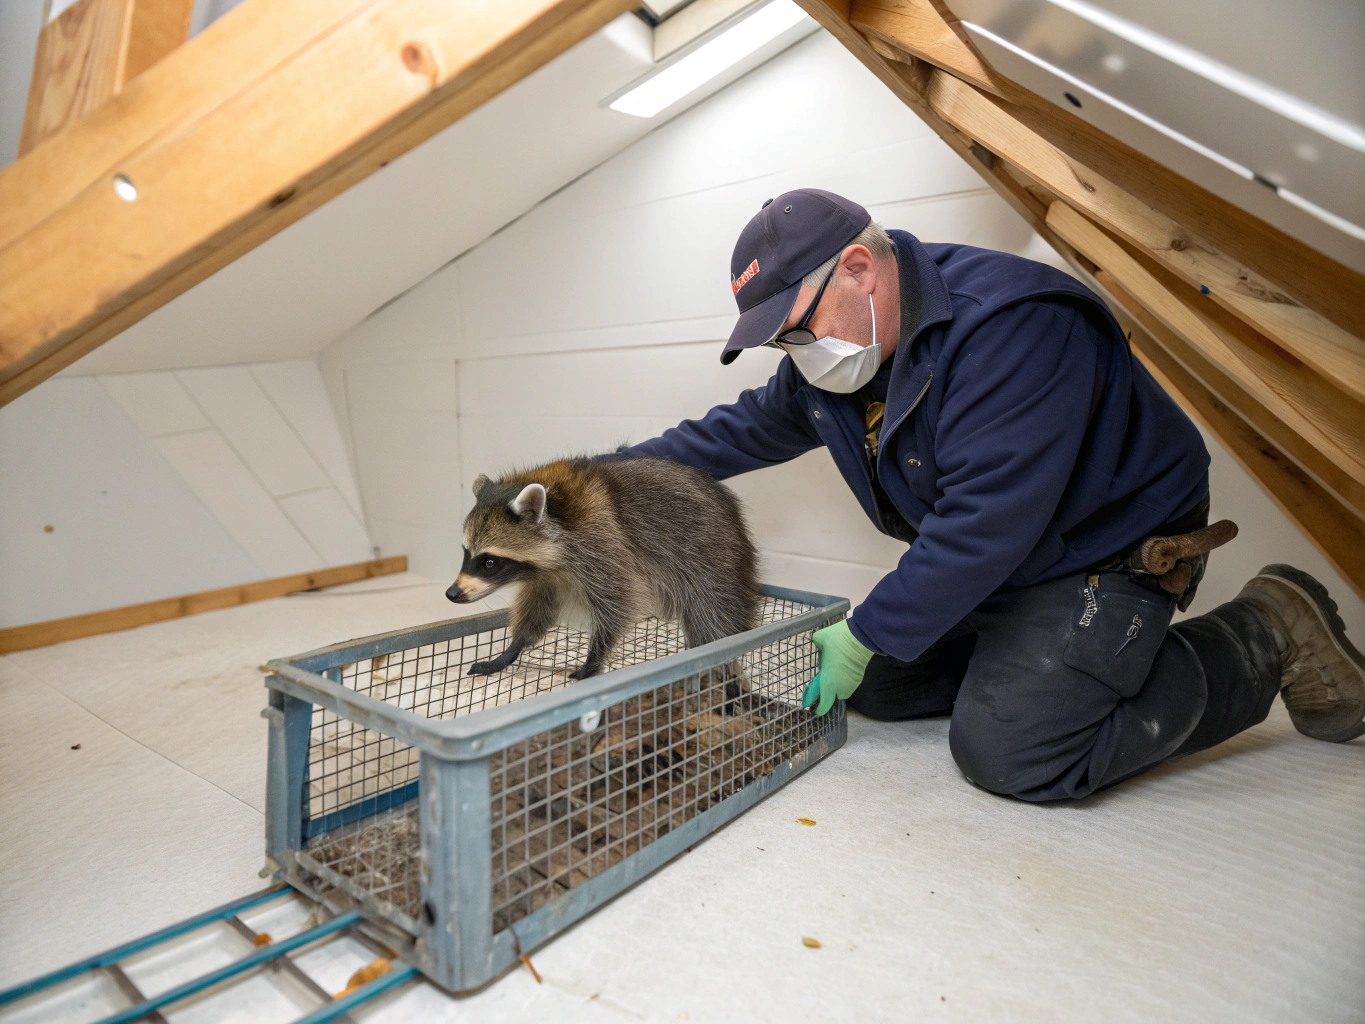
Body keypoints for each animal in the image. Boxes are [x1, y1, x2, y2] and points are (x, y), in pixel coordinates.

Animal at [447, 457, 761, 679]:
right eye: (465, 554)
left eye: (489, 562)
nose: (452, 593)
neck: (555, 510)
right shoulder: (547, 577)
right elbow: (537, 608)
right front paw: (513, 648)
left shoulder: (602, 542)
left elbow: (618, 601)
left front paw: (595, 656)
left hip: (715, 559)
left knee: (714, 615)